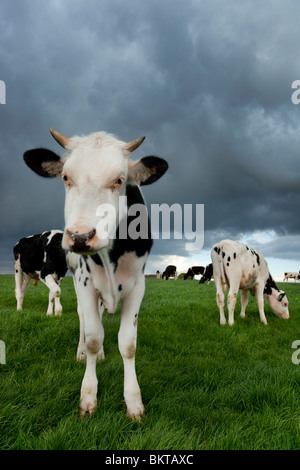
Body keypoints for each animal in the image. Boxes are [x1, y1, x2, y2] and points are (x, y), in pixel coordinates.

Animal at [22, 126, 169, 420]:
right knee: (84, 319)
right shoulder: (85, 281)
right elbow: (91, 336)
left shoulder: (138, 286)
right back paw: (83, 353)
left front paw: (133, 402)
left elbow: (128, 344)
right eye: (66, 177)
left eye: (119, 180)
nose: (80, 236)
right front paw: (88, 397)